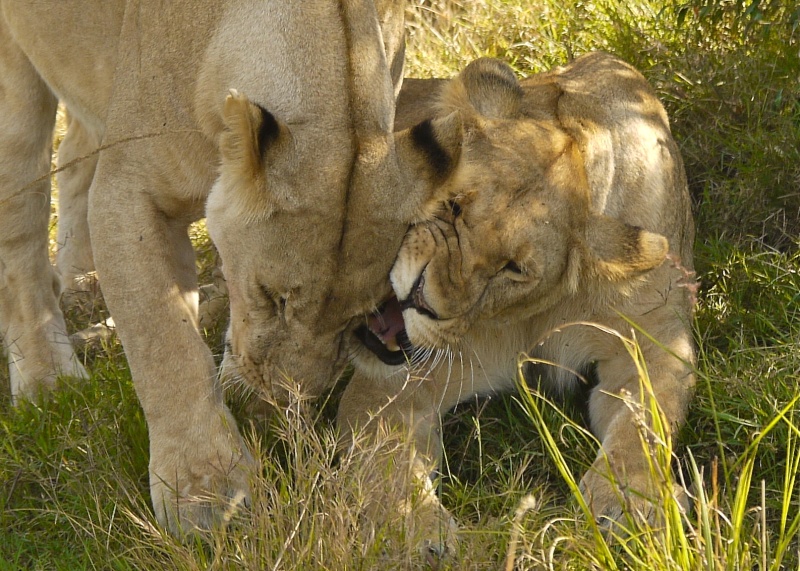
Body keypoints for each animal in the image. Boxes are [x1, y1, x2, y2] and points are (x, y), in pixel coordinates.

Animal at [0, 0, 466, 536]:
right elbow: (165, 342)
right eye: (271, 296)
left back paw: (80, 280)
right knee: (20, 213)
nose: (287, 396)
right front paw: (207, 492)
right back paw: (48, 382)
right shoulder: (129, 191)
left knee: (74, 149)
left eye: (359, 318)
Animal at [340, 51, 696, 552]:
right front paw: (414, 530)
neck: (534, 314)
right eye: (453, 205)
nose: (418, 298)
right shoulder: (393, 386)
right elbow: (386, 461)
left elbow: (645, 418)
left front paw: (629, 501)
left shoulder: (653, 341)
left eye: (513, 269)